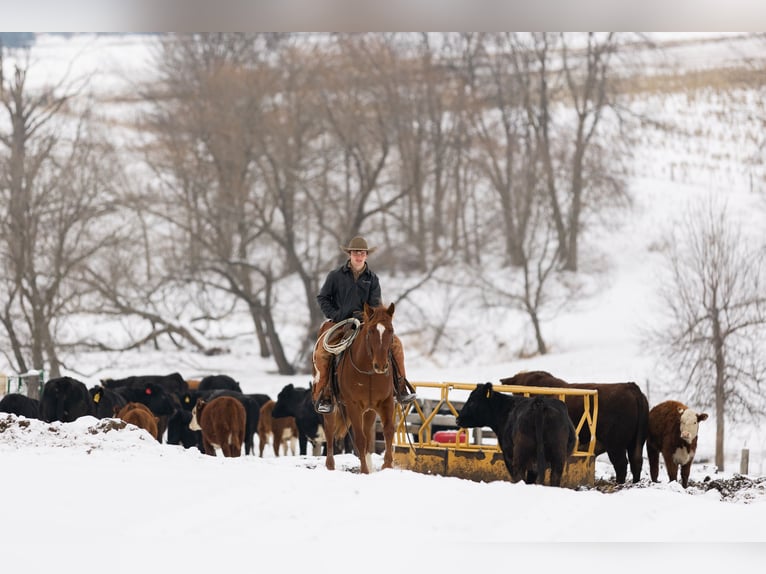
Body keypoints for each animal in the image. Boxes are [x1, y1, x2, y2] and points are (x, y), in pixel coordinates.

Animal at [322, 304, 396, 474]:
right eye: (371, 331)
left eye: (391, 330)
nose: (381, 365)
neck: (369, 372)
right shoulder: (353, 406)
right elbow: (360, 439)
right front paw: (364, 471)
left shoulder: (386, 401)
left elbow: (388, 431)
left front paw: (387, 466)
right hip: (333, 407)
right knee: (329, 430)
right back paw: (330, 465)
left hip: (369, 411)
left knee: (368, 433)